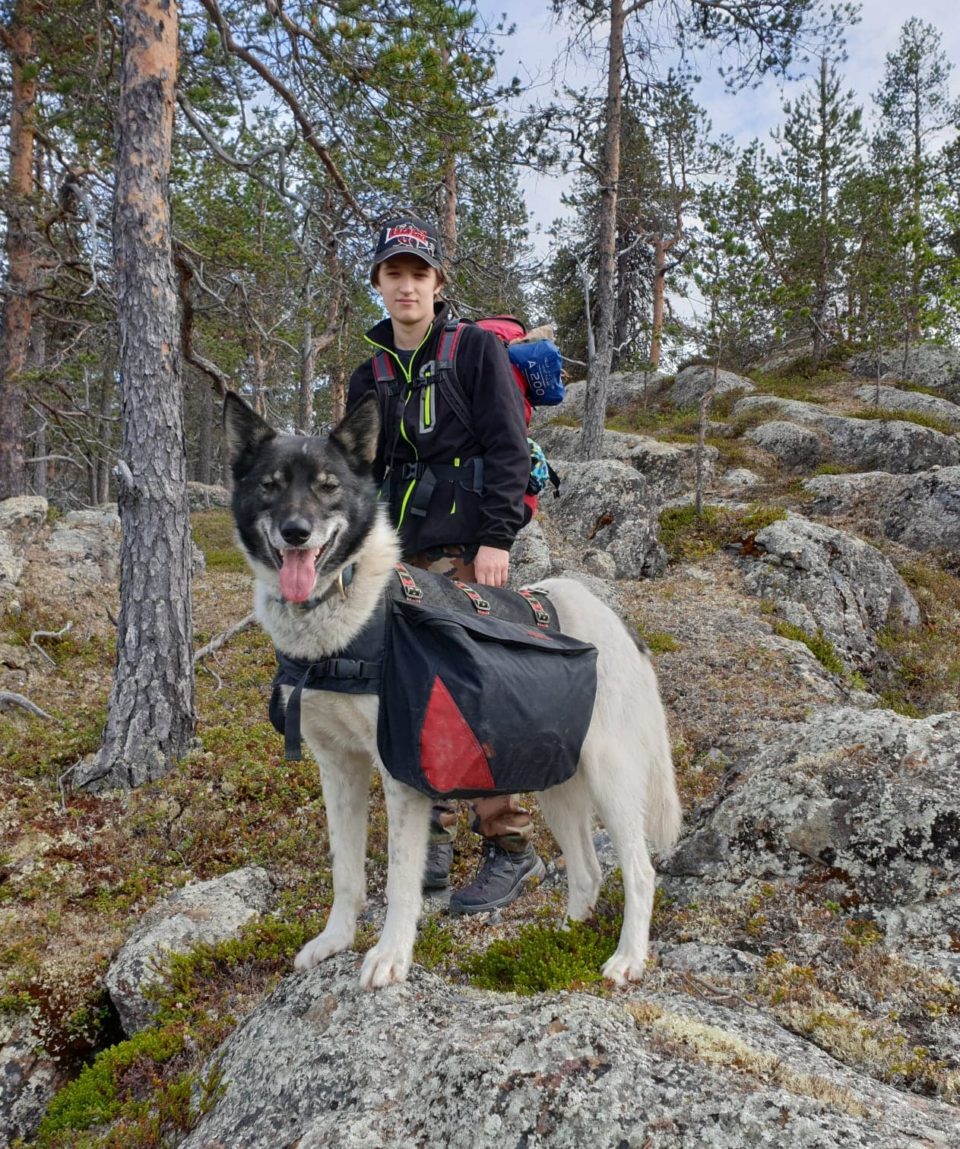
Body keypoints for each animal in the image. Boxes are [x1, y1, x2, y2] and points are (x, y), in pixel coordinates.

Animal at [222, 392, 684, 988]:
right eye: (270, 485)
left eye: (327, 486)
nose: (296, 533)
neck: (342, 612)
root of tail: (621, 627)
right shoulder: (339, 769)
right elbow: (346, 873)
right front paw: (334, 941)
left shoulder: (400, 775)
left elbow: (400, 880)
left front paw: (390, 955)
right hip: (555, 782)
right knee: (586, 869)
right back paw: (557, 942)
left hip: (611, 778)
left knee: (640, 871)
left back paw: (628, 957)